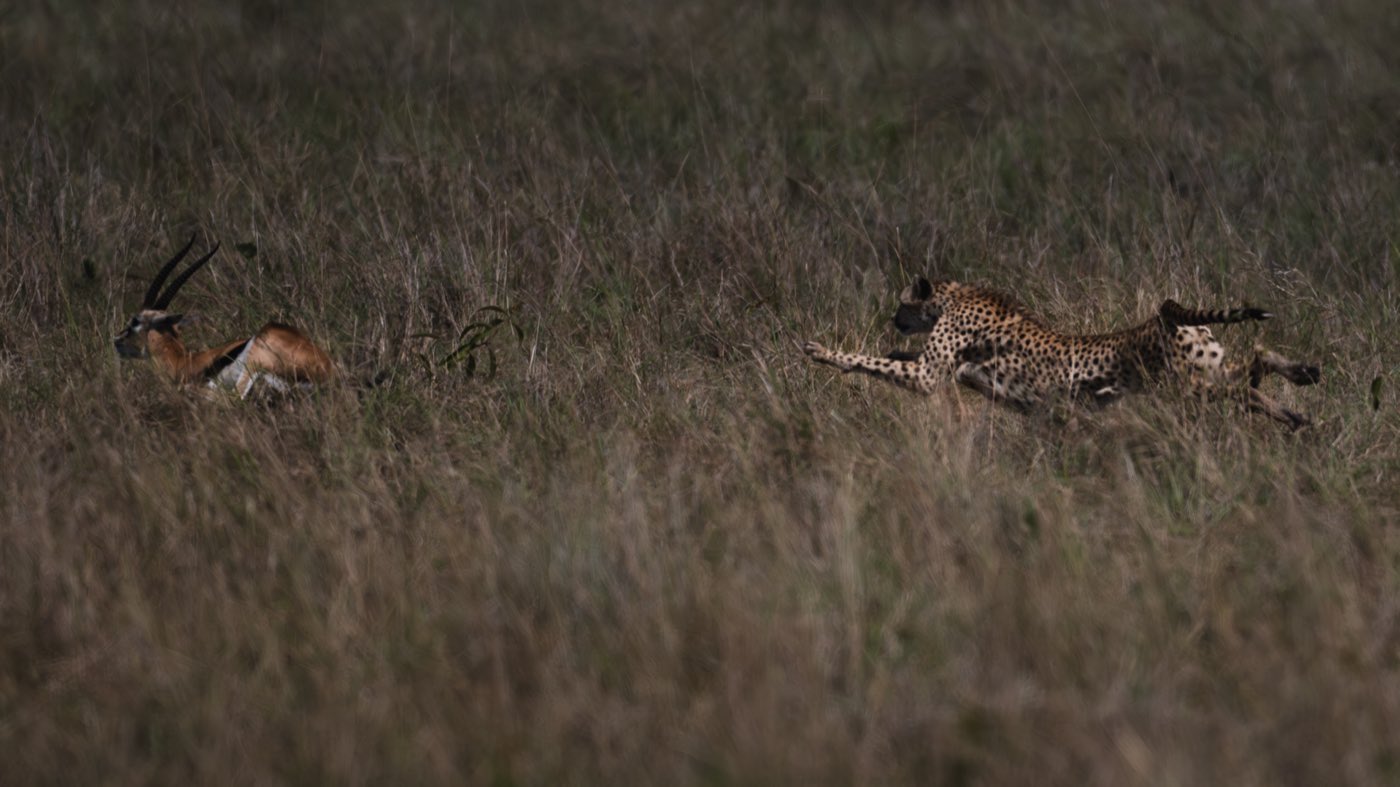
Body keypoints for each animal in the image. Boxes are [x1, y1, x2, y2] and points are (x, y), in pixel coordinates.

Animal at [803, 276, 1321, 428]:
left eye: (900, 303)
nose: (894, 319)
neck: (954, 294)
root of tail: (1164, 314)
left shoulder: (932, 375)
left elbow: (873, 362)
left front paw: (823, 351)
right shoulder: (943, 369)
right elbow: (897, 359)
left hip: (1191, 387)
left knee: (1254, 364)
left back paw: (1299, 382)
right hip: (1204, 377)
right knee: (1250, 380)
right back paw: (1299, 405)